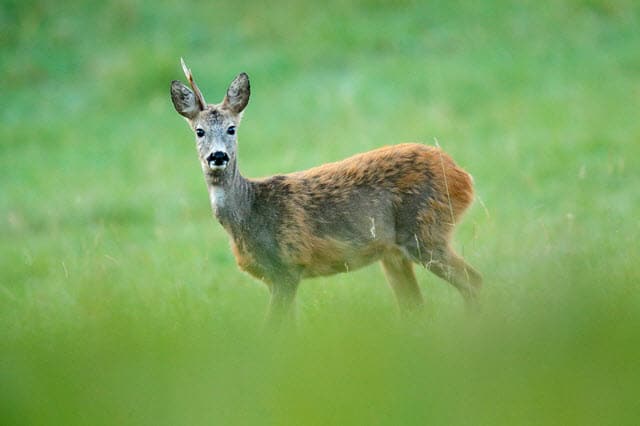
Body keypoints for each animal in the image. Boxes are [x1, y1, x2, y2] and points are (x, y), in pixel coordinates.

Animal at [170, 59, 480, 326]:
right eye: (199, 131)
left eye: (232, 128)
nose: (218, 156)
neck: (250, 212)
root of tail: (463, 176)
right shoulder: (278, 277)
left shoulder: (288, 266)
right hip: (395, 251)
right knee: (416, 305)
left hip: (425, 230)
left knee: (472, 280)